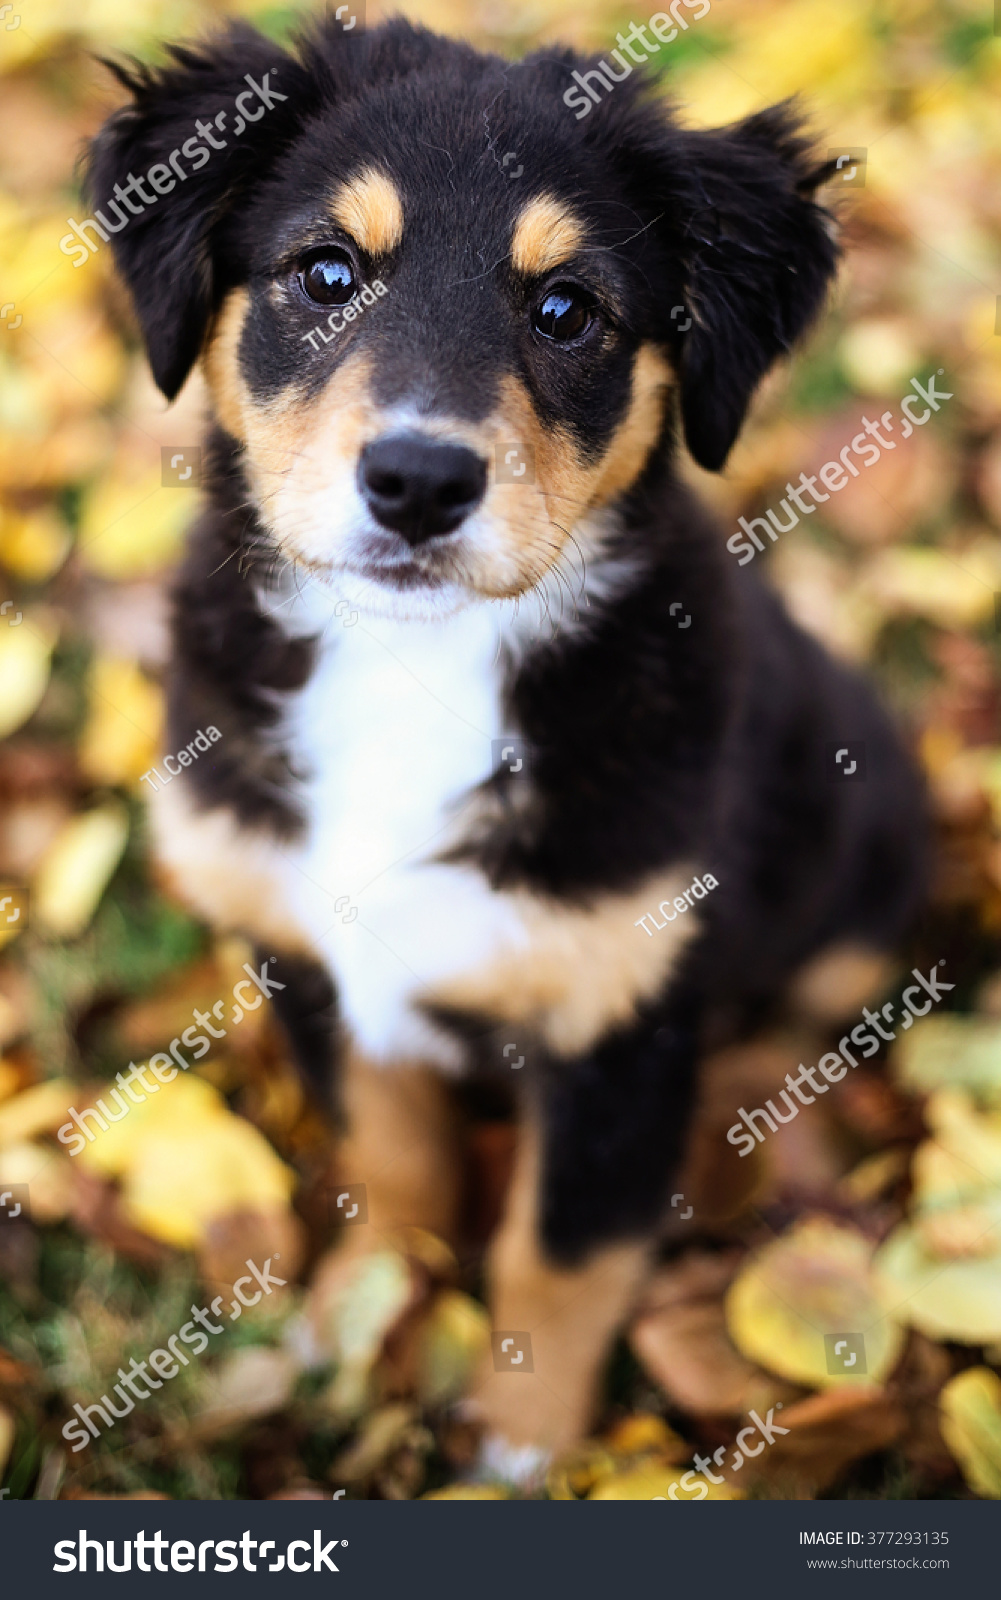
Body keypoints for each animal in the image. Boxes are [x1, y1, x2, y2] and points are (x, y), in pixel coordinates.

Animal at [89, 12, 921, 1478]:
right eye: (325, 272)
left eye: (566, 309)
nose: (419, 482)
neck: (411, 668)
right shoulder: (307, 949)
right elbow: (392, 1156)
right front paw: (365, 1322)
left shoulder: (619, 1019)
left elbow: (564, 1250)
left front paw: (519, 1444)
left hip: (866, 856)